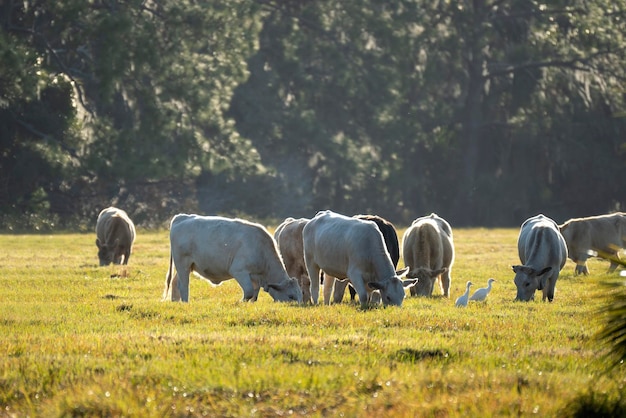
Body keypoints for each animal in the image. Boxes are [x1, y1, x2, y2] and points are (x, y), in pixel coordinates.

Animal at [163, 216, 302, 304]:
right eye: (291, 296)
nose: (300, 306)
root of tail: (181, 217)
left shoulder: (254, 277)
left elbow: (254, 293)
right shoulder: (239, 271)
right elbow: (249, 291)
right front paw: (240, 302)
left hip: (185, 266)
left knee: (175, 282)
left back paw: (175, 302)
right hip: (182, 264)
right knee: (183, 285)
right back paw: (185, 302)